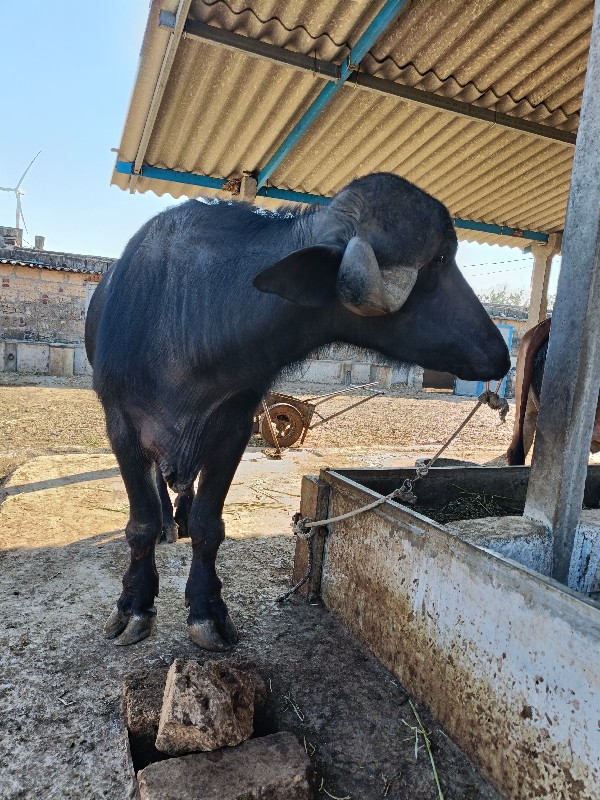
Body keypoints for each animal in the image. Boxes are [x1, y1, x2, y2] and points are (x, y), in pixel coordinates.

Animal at [85, 173, 506, 648]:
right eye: (438, 260)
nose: (499, 352)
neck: (188, 319)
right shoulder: (120, 424)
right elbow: (138, 522)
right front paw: (134, 606)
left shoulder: (234, 426)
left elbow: (210, 525)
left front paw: (208, 610)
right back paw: (167, 527)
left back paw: (182, 518)